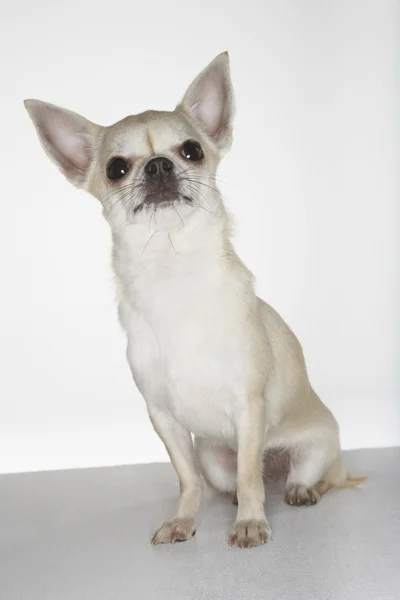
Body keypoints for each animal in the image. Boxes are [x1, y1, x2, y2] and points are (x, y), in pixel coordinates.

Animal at [23, 52, 364, 548]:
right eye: (116, 168)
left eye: (191, 150)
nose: (158, 165)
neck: (173, 272)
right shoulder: (163, 418)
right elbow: (188, 478)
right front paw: (184, 521)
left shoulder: (248, 406)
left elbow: (249, 475)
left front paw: (249, 523)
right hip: (213, 457)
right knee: (228, 479)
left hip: (316, 449)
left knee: (308, 477)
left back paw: (301, 490)